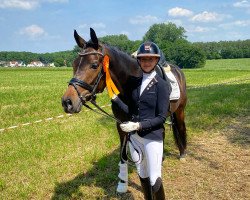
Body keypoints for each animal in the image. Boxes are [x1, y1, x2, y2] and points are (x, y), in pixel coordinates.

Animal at [61, 27, 187, 192]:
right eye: (74, 64)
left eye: (94, 65)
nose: (67, 102)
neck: (132, 85)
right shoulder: (121, 125)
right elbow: (123, 154)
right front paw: (122, 183)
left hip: (180, 111)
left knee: (181, 128)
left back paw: (182, 153)